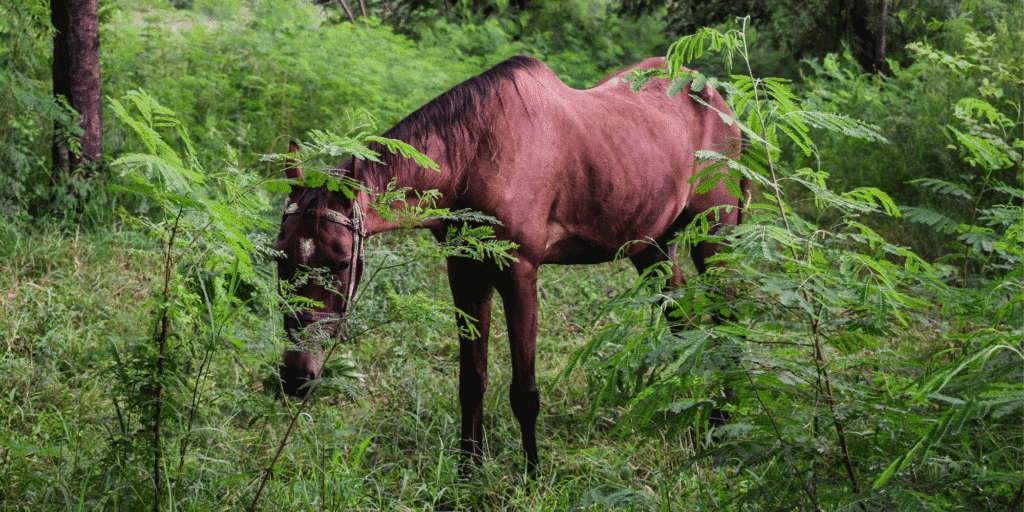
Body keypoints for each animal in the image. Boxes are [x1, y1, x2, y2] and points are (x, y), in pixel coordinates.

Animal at [274, 54, 745, 473]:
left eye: (340, 263)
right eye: (279, 259)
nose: (298, 377)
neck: (476, 157)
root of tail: (715, 97)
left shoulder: (519, 275)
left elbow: (524, 391)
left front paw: (532, 475)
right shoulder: (465, 274)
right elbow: (471, 381)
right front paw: (468, 472)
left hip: (714, 235)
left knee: (727, 316)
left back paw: (724, 418)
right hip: (652, 246)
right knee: (684, 322)